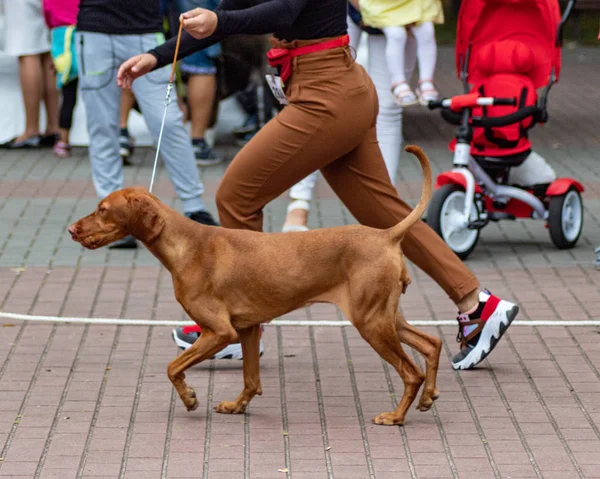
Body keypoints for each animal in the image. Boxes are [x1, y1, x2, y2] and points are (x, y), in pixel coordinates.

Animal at [72, 144, 442, 426]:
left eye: (102, 209)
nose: (72, 229)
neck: (186, 244)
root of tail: (387, 235)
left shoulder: (220, 331)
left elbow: (172, 367)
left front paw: (190, 398)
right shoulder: (247, 328)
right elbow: (251, 379)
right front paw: (237, 406)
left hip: (370, 321)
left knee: (411, 371)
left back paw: (396, 416)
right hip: (385, 316)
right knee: (431, 343)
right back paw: (427, 398)